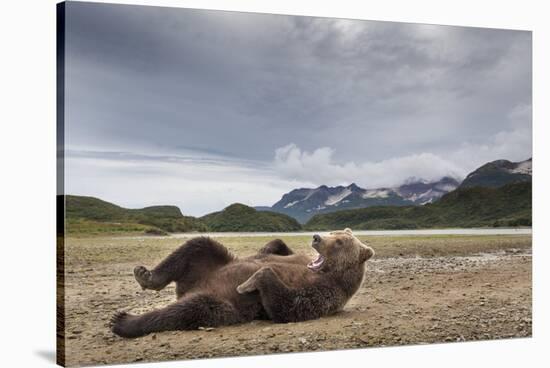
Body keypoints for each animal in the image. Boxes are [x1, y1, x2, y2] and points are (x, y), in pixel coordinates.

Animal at [112, 229, 380, 338]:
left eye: (340, 242)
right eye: (332, 233)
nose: (316, 237)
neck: (324, 271)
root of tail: (189, 288)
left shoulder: (325, 293)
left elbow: (288, 307)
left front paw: (249, 282)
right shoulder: (300, 259)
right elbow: (275, 247)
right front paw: (273, 249)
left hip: (223, 304)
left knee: (190, 308)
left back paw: (123, 321)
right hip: (206, 265)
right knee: (198, 244)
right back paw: (145, 275)